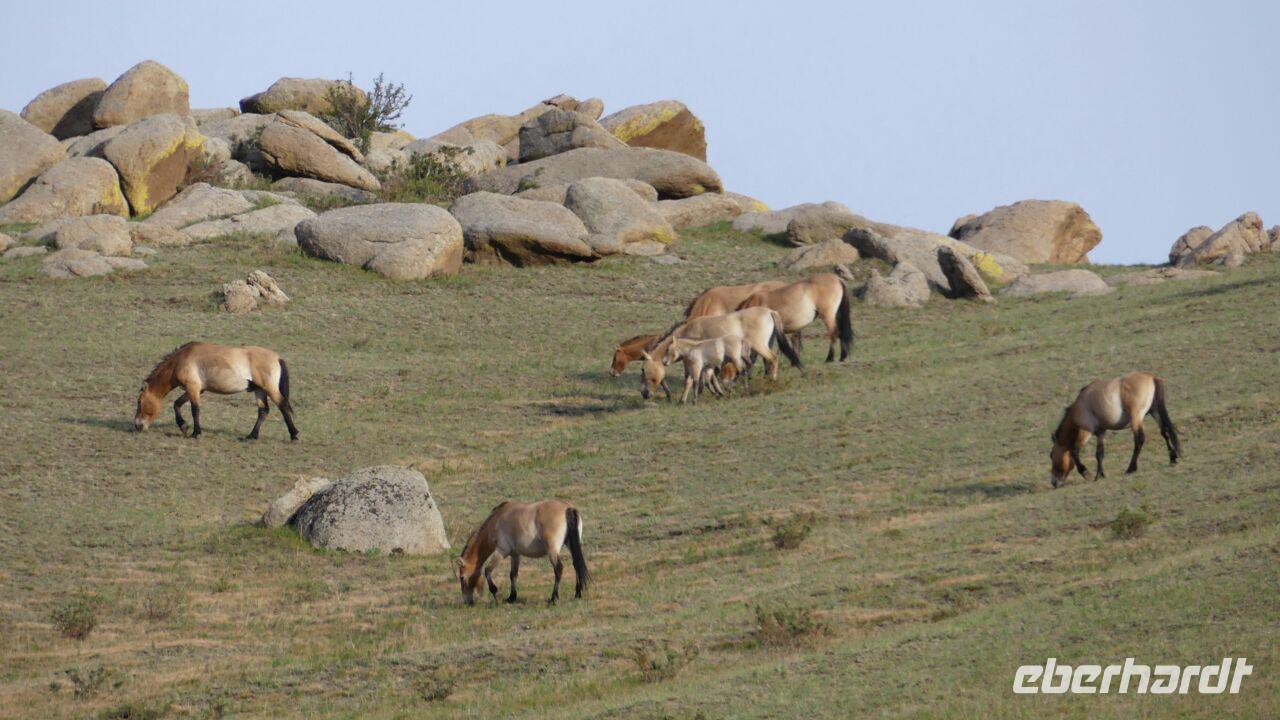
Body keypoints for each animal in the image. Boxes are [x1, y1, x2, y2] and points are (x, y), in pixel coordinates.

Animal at [134, 342, 299, 441]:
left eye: (139, 402)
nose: (137, 426)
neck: (181, 360)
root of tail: (277, 357)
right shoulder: (197, 389)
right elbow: (177, 404)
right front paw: (184, 426)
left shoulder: (193, 388)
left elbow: (195, 410)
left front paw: (195, 433)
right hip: (259, 390)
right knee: (263, 411)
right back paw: (251, 436)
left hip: (269, 389)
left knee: (283, 405)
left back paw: (294, 435)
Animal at [455, 500, 590, 606]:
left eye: (462, 578)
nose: (467, 602)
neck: (496, 520)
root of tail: (568, 508)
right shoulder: (515, 555)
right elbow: (513, 574)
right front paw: (511, 597)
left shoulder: (501, 552)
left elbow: (488, 570)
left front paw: (497, 595)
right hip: (571, 545)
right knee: (576, 565)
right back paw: (577, 593)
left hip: (553, 550)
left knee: (558, 569)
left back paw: (554, 598)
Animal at [641, 307, 801, 401]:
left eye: (645, 370)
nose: (645, 394)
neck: (688, 333)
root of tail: (770, 311)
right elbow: (707, 377)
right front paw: (713, 392)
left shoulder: (694, 360)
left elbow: (693, 378)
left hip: (760, 346)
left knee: (773, 359)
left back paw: (772, 382)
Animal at [1050, 372, 1181, 488]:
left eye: (1051, 455)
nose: (1054, 483)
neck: (1080, 405)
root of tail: (1151, 377)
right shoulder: (1101, 432)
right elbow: (1099, 453)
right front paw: (1100, 475)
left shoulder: (1085, 431)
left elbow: (1074, 451)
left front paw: (1086, 473)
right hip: (1154, 412)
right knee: (1165, 432)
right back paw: (1173, 458)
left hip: (1136, 418)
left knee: (1139, 439)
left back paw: (1131, 468)